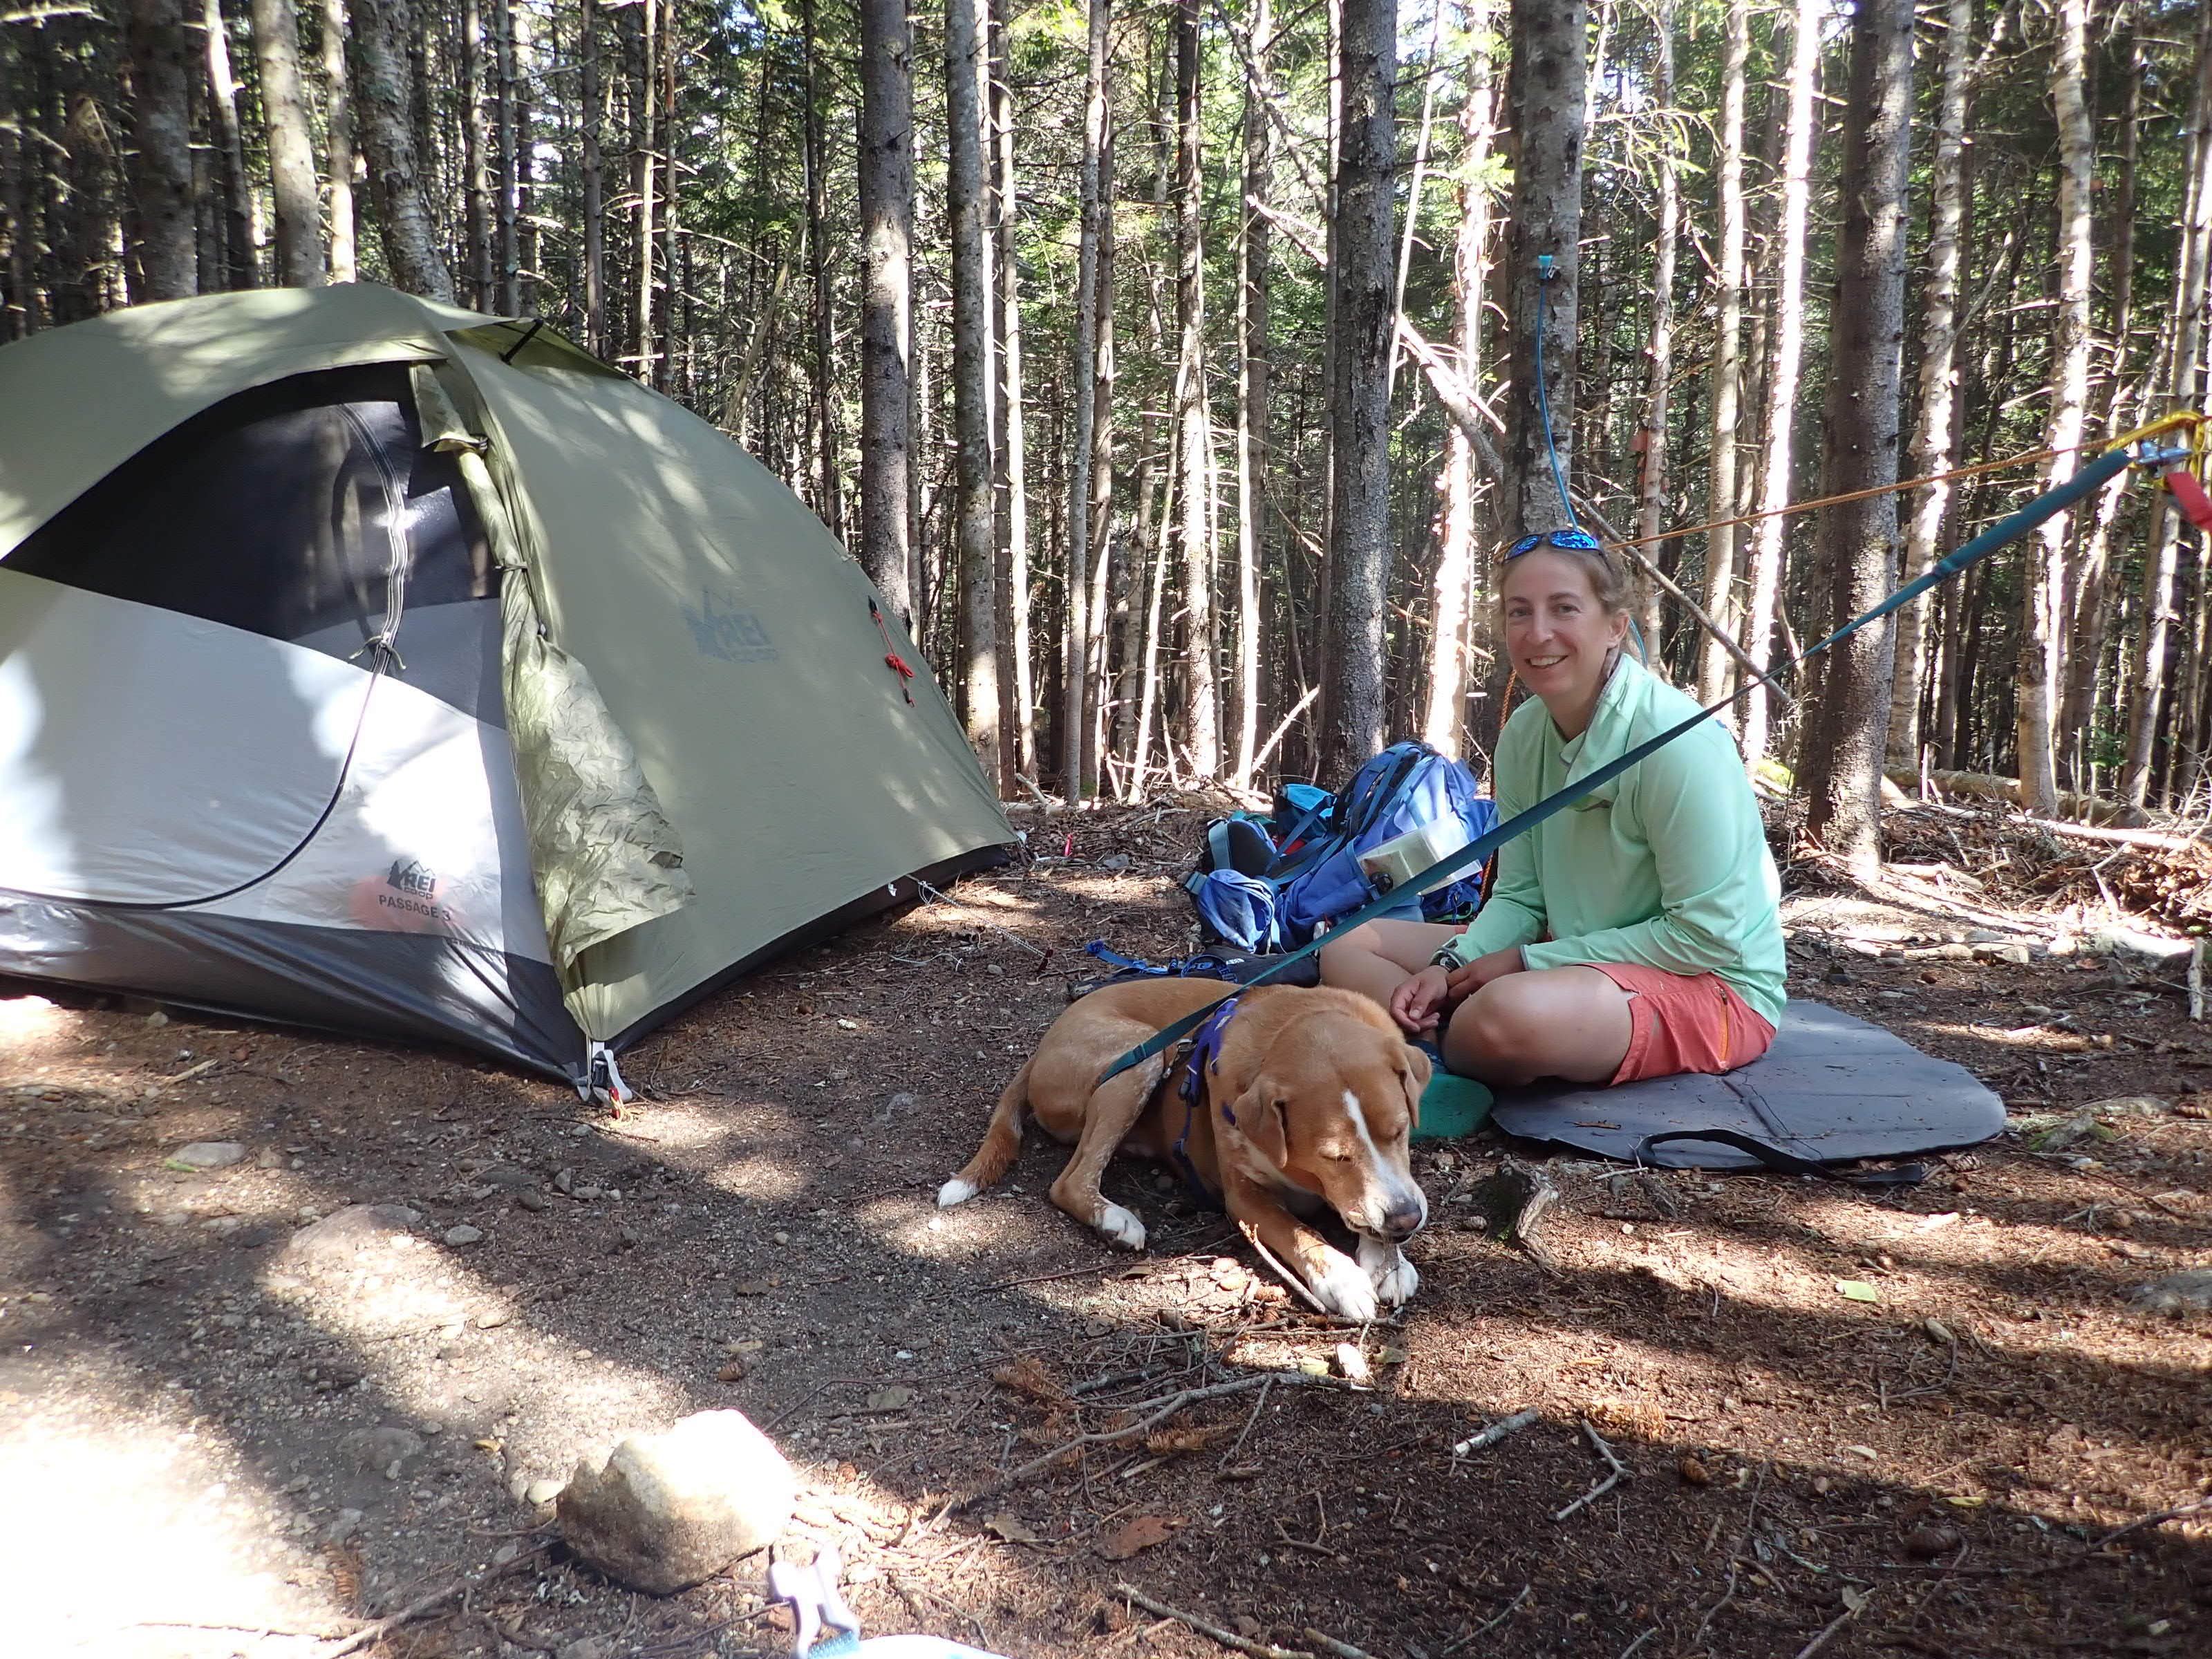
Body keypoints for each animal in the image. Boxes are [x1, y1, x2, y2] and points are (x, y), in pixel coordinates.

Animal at [937, 986, 1433, 1327]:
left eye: (1400, 1130)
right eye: (1334, 1157)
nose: (1406, 1222)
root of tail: (1044, 1043)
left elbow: (1371, 1209)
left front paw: (1389, 1263)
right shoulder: (1245, 1199)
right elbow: (1298, 1233)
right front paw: (1343, 1278)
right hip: (1142, 1055)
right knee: (1070, 1180)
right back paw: (1115, 1220)